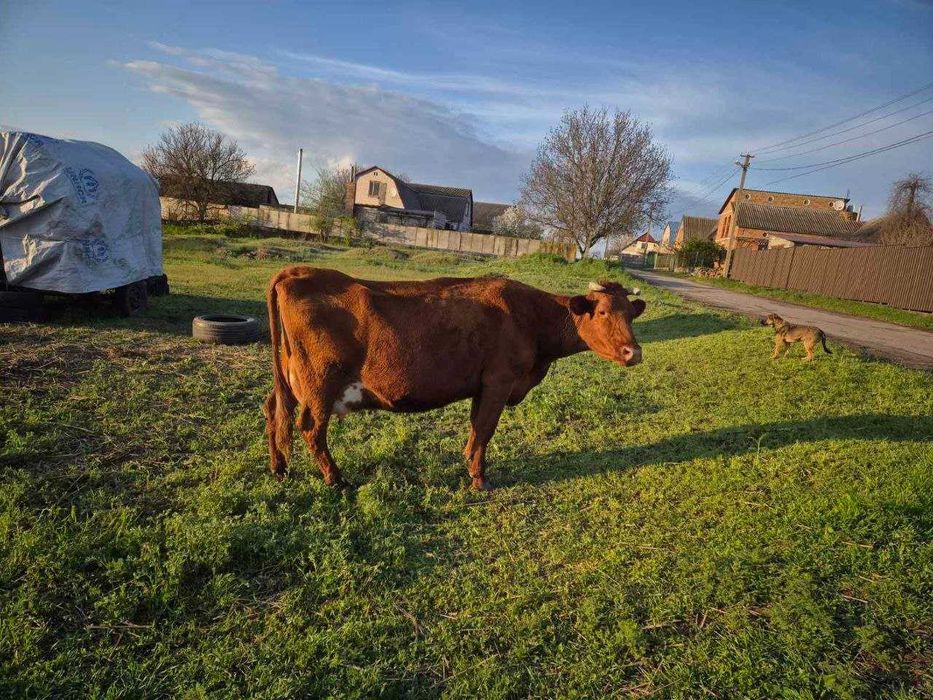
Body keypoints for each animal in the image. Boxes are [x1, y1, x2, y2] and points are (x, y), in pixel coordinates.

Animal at [263, 266, 645, 490]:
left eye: (630, 313)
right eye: (602, 311)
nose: (634, 352)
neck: (530, 318)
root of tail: (300, 273)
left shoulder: (482, 385)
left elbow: (476, 429)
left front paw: (470, 464)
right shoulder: (499, 381)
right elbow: (485, 430)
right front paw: (479, 479)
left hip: (290, 379)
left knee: (274, 411)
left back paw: (279, 468)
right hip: (320, 384)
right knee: (311, 428)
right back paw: (336, 479)